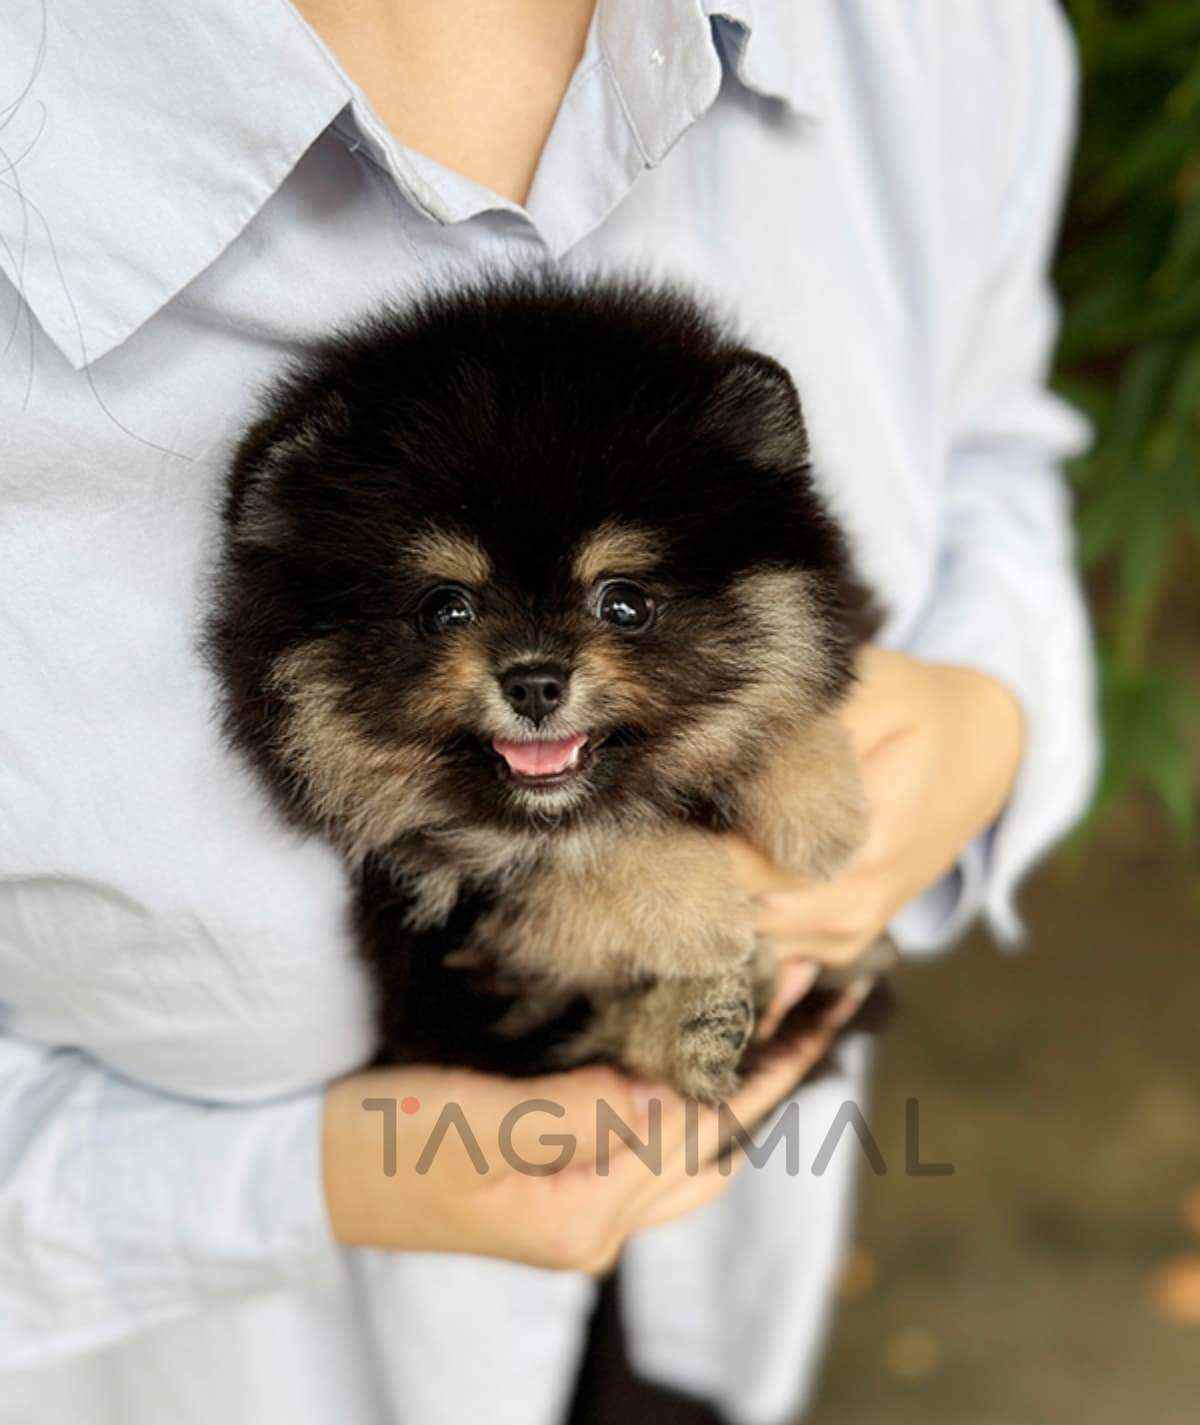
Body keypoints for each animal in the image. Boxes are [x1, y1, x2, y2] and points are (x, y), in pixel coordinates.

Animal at [206, 267, 886, 1102]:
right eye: (445, 608)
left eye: (624, 601)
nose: (534, 681)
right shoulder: (430, 918)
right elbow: (567, 860)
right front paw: (699, 909)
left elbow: (791, 694)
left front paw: (819, 807)